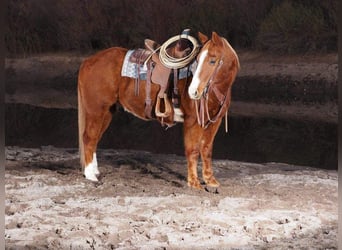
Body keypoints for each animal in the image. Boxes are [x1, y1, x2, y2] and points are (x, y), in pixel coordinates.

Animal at [78, 32, 239, 190]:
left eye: (212, 61)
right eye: (197, 60)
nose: (193, 91)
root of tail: (88, 61)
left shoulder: (214, 122)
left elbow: (206, 149)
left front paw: (210, 180)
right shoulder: (192, 121)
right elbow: (193, 150)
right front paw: (194, 183)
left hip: (106, 113)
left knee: (95, 139)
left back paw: (94, 171)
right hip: (96, 111)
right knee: (88, 138)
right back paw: (90, 175)